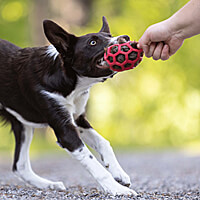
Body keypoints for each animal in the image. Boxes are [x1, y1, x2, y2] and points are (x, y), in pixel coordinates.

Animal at [0, 16, 136, 195]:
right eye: (93, 42)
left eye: (110, 35)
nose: (125, 38)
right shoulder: (65, 131)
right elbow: (92, 162)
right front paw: (116, 188)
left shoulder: (77, 119)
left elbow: (103, 143)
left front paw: (119, 173)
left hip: (22, 123)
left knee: (19, 165)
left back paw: (48, 184)